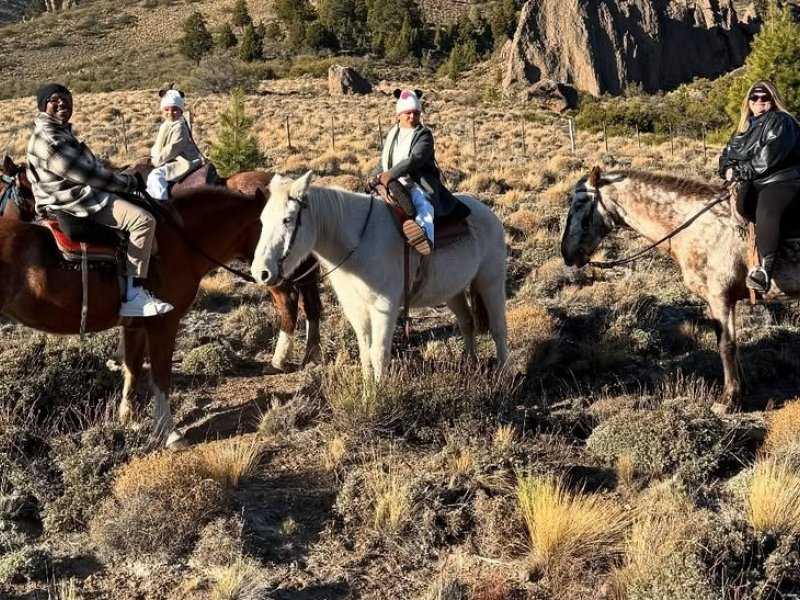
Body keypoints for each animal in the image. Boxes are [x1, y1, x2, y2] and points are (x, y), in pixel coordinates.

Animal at [1, 155, 322, 371]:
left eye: (12, 189)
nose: (12, 217)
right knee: (305, 300)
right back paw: (307, 354)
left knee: (288, 299)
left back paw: (282, 358)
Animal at [249, 171, 509, 381]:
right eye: (261, 220)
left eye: (287, 219)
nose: (261, 272)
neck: (357, 244)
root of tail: (489, 213)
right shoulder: (356, 309)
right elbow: (366, 354)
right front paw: (368, 395)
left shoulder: (385, 306)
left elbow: (379, 354)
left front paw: (380, 395)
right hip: (453, 291)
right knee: (467, 323)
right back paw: (471, 365)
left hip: (491, 283)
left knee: (498, 329)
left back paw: (503, 374)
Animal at [560, 166, 763, 411]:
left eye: (580, 203)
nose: (566, 252)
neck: (698, 227)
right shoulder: (725, 300)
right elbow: (733, 346)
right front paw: (740, 392)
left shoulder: (720, 297)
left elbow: (726, 345)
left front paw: (727, 400)